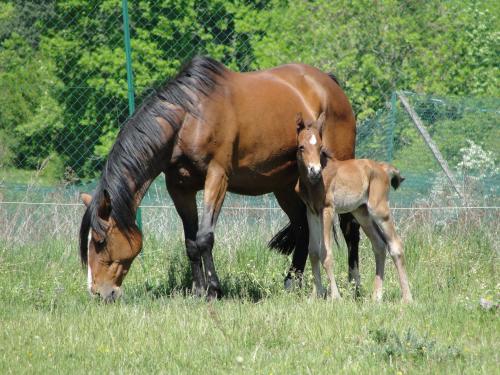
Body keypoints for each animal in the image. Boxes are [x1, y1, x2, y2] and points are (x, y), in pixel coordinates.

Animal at [79, 56, 360, 302]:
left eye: (100, 241)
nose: (98, 292)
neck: (189, 119)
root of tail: (330, 84)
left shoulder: (217, 177)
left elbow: (205, 237)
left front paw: (214, 289)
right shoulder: (179, 188)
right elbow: (191, 242)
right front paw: (198, 291)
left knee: (350, 227)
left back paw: (354, 285)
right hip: (286, 186)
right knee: (302, 227)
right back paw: (292, 283)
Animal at [294, 113, 412, 304]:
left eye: (320, 147)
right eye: (301, 147)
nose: (315, 171)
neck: (313, 183)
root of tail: (382, 168)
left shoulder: (327, 210)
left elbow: (326, 253)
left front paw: (335, 297)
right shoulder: (311, 212)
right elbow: (313, 252)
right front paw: (315, 296)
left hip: (379, 210)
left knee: (396, 245)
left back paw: (407, 298)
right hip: (361, 213)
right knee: (379, 245)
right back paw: (376, 296)